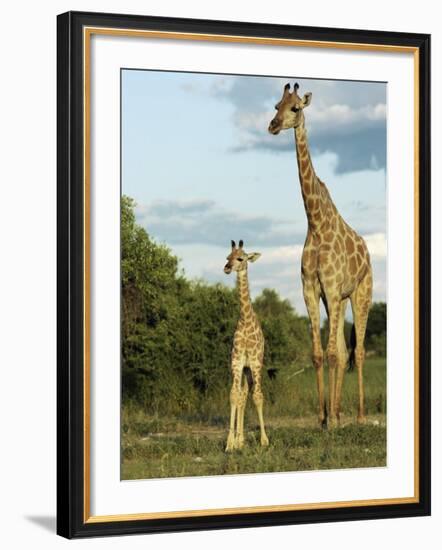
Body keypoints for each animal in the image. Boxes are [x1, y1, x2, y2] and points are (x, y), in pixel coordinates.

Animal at [268, 84, 372, 432]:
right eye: (276, 105)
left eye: (296, 108)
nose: (272, 125)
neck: (314, 222)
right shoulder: (311, 289)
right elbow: (318, 353)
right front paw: (323, 417)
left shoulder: (332, 286)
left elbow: (332, 354)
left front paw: (331, 421)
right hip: (336, 299)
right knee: (341, 348)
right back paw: (338, 414)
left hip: (360, 294)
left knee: (359, 350)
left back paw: (359, 415)